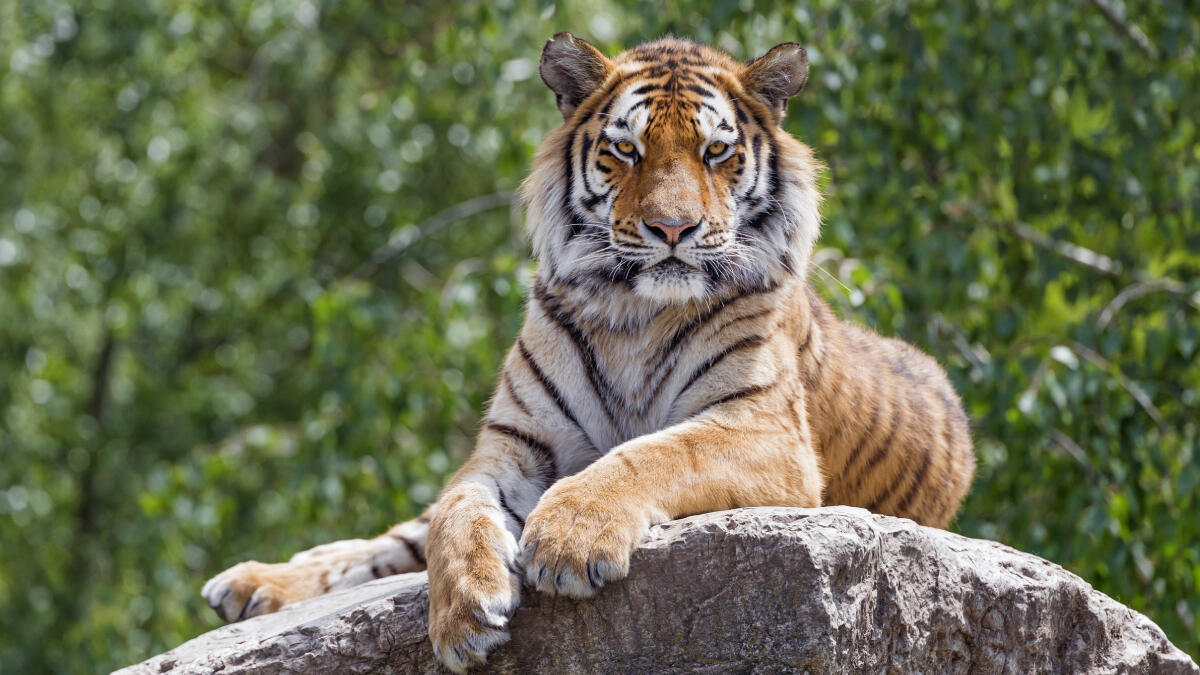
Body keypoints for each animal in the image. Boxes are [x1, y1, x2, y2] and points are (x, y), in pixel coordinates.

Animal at [201, 34, 974, 667]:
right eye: (626, 149)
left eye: (716, 153)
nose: (673, 229)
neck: (634, 312)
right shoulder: (512, 444)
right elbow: (457, 511)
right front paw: (462, 613)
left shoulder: (762, 431)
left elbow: (652, 453)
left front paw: (568, 539)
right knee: (389, 543)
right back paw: (251, 584)